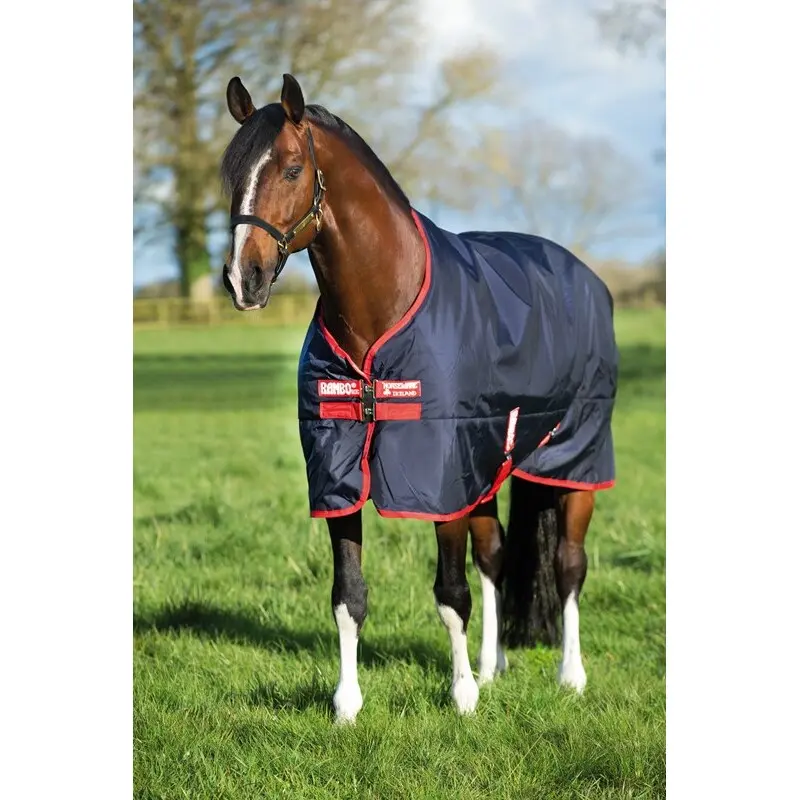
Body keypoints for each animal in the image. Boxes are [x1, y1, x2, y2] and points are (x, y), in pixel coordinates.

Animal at [220, 73, 618, 724]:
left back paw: (571, 675)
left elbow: (451, 594)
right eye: (231, 173)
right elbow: (349, 595)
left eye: (292, 169)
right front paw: (347, 704)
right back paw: (494, 666)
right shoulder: (340, 474)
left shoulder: (438, 476)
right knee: (496, 556)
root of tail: (585, 275)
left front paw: (461, 697)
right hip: (487, 464)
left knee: (568, 565)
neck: (384, 309)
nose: (241, 279)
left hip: (575, 460)